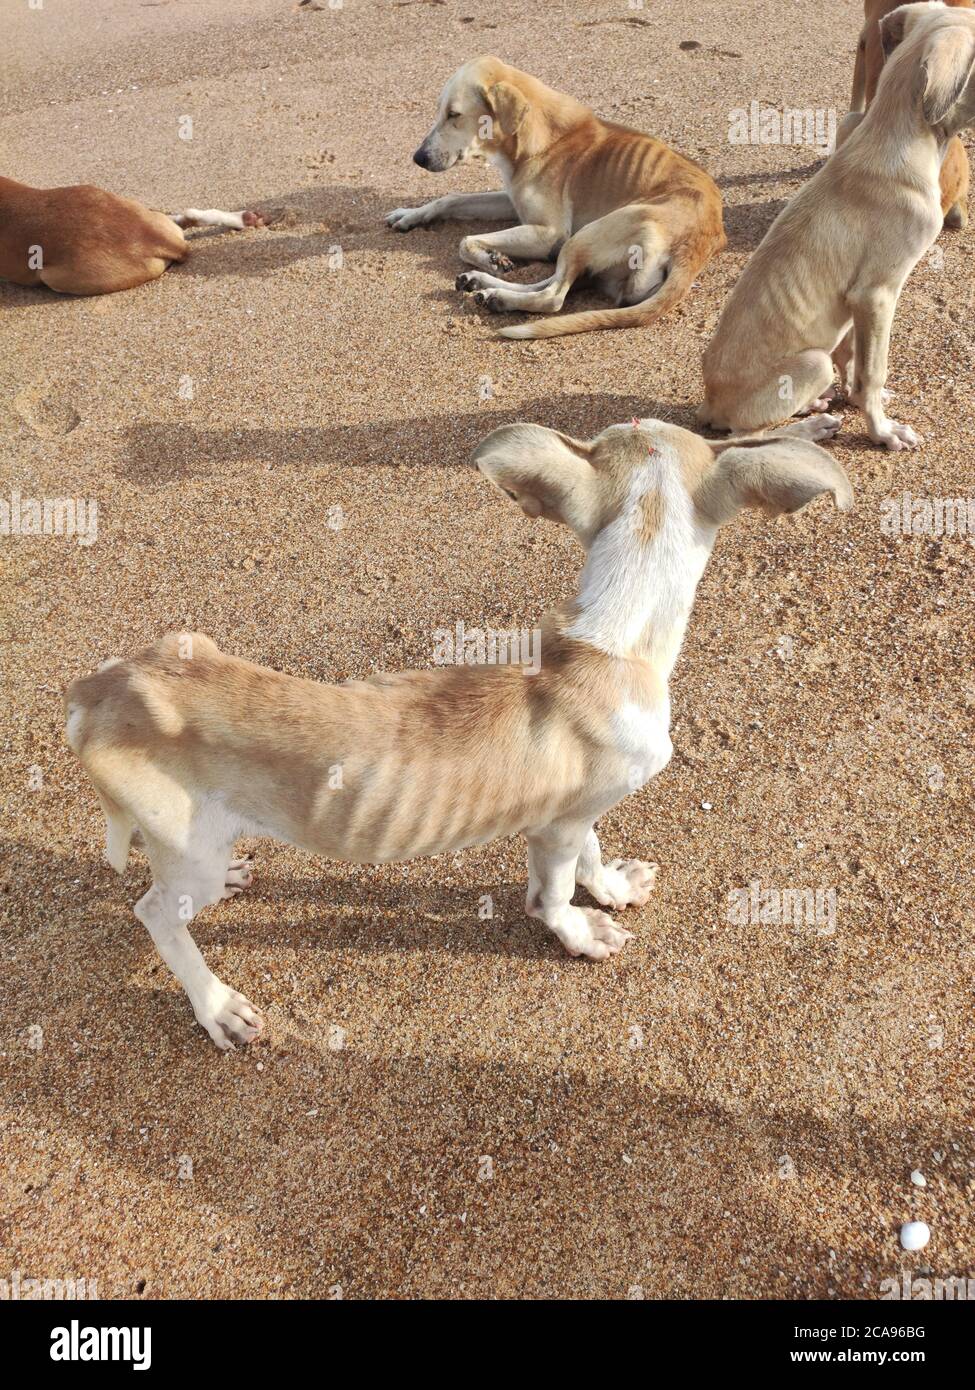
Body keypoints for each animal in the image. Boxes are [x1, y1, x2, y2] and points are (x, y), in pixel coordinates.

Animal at [66, 414, 845, 1050]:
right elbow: (551, 894)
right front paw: (580, 933)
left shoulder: (576, 808)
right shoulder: (555, 827)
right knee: (154, 911)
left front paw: (612, 887)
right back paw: (217, 1005)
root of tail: (99, 690)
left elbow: (592, 854)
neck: (610, 641)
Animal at [383, 54, 728, 339]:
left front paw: (490, 257)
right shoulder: (511, 202)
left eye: (453, 114)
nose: (418, 158)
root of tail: (700, 242)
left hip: (587, 235)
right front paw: (410, 215)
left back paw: (498, 296)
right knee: (551, 281)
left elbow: (464, 240)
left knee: (553, 296)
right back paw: (480, 283)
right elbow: (451, 198)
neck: (536, 137)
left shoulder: (548, 233)